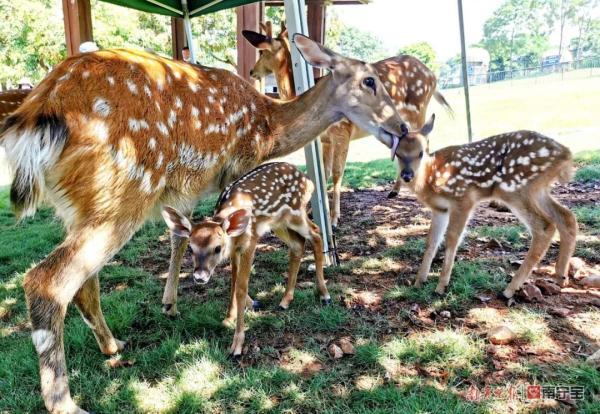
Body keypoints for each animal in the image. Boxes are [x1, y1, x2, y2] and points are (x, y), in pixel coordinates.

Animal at [162, 162, 330, 356]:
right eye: (191, 248)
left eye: (217, 248)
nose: (200, 276)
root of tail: (308, 180)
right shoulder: (235, 249)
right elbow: (233, 281)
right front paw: (228, 318)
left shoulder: (250, 241)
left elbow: (242, 287)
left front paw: (237, 345)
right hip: (278, 223)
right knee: (298, 245)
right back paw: (285, 301)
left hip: (297, 214)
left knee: (316, 234)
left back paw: (324, 294)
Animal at [241, 20, 452, 226]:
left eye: (262, 51)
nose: (252, 71)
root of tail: (433, 76)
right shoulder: (324, 140)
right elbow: (324, 173)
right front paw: (313, 213)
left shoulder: (342, 130)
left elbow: (337, 173)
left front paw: (334, 218)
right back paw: (395, 190)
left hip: (418, 112)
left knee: (425, 143)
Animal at [380, 115, 580, 300]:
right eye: (398, 153)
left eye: (421, 153)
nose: (407, 175)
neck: (431, 177)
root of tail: (566, 154)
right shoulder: (440, 209)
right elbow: (431, 241)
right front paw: (419, 282)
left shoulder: (463, 199)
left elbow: (452, 239)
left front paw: (441, 286)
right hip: (538, 190)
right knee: (566, 217)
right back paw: (560, 276)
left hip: (514, 188)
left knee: (544, 225)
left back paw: (509, 290)